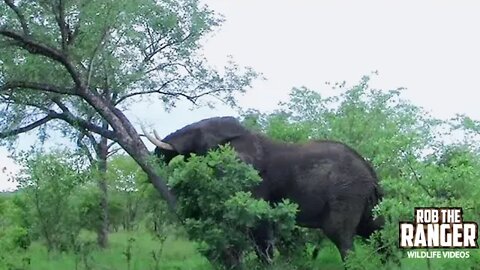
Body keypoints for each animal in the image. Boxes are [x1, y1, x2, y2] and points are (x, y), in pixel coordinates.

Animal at [142, 115, 382, 262]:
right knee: (375, 229)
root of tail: (370, 172)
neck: (242, 135)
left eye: (199, 134)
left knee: (342, 237)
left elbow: (259, 229)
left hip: (345, 194)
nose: (158, 155)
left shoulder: (255, 182)